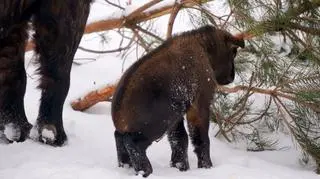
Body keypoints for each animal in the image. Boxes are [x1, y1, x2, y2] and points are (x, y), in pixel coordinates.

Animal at [111, 25, 244, 178]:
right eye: (233, 52)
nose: (231, 76)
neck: (205, 48)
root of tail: (118, 112)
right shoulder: (200, 103)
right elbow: (200, 140)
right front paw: (206, 166)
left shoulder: (177, 115)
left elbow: (180, 140)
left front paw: (180, 166)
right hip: (156, 124)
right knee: (132, 142)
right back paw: (145, 171)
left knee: (119, 138)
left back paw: (126, 167)